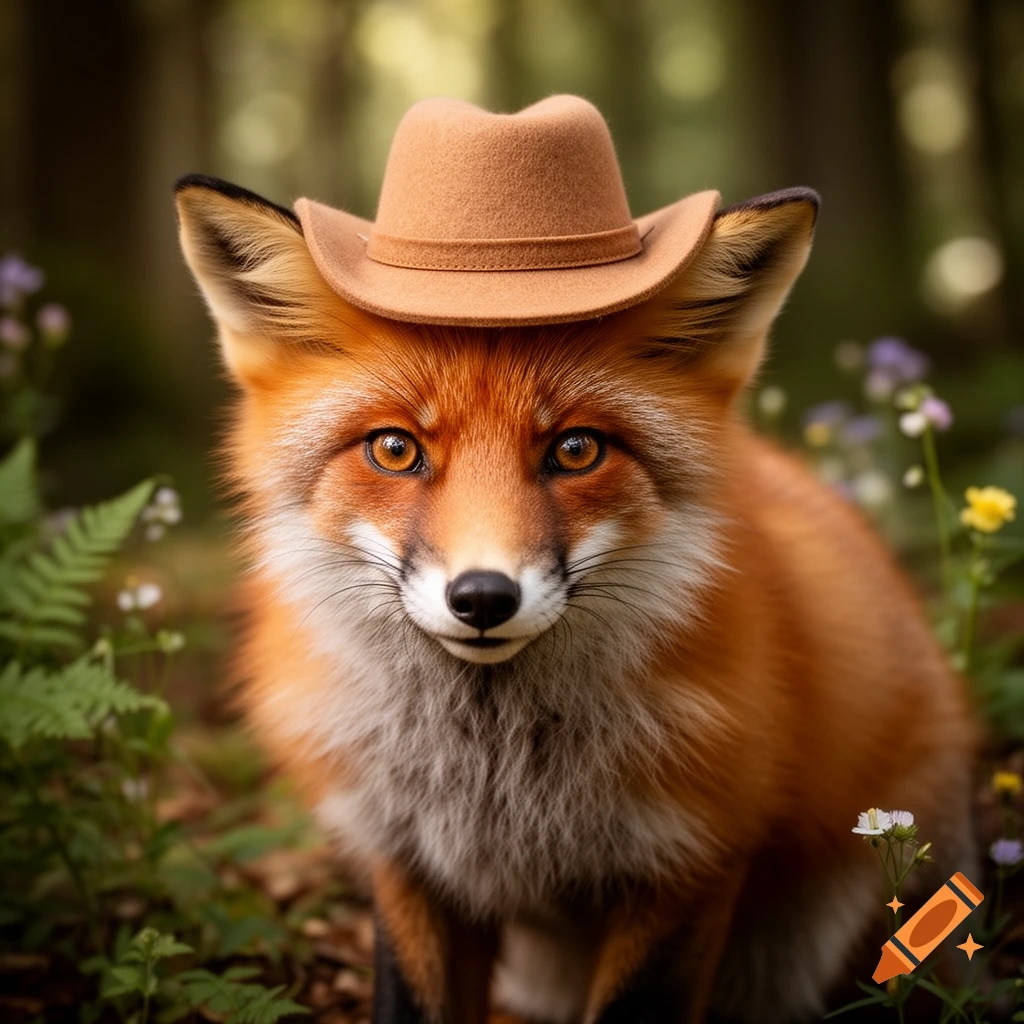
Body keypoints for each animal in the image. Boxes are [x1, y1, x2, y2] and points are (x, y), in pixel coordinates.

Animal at [174, 173, 979, 1023]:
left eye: (576, 449)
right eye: (394, 449)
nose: (483, 598)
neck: (496, 776)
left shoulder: (686, 862)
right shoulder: (408, 862)